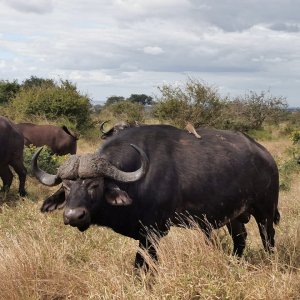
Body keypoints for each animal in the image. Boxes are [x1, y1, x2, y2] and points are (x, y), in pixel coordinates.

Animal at [31, 124, 280, 268]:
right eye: (66, 186)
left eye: (94, 184)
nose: (73, 216)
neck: (137, 181)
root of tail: (266, 156)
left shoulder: (152, 233)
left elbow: (142, 264)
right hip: (234, 215)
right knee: (240, 238)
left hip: (265, 211)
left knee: (268, 239)